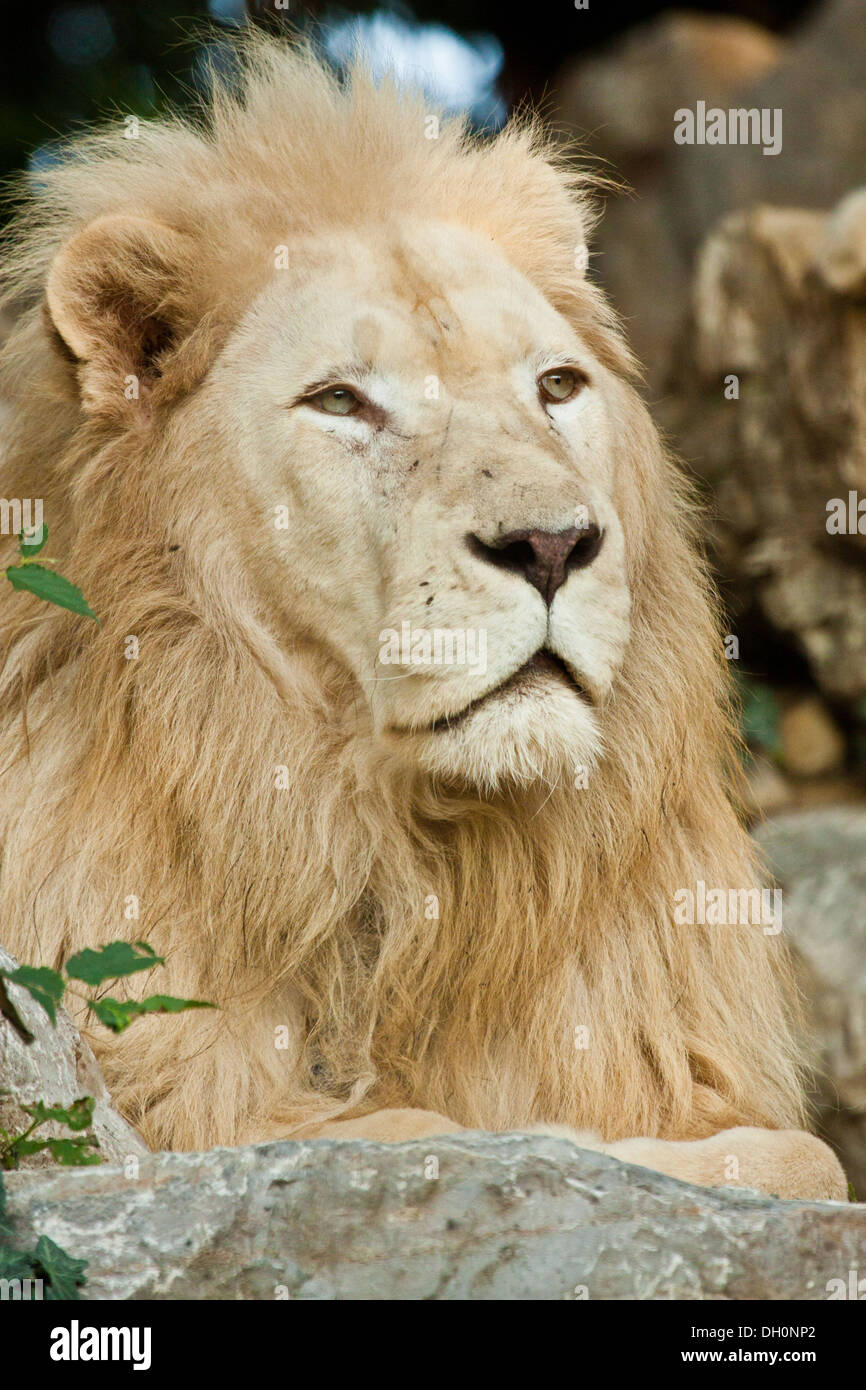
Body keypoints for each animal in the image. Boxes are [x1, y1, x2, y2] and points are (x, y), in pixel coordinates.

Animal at [0, 38, 845, 1200]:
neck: (408, 865)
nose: (551, 546)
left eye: (556, 386)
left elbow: (807, 1156)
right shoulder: (164, 1104)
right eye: (340, 402)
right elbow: (435, 1135)